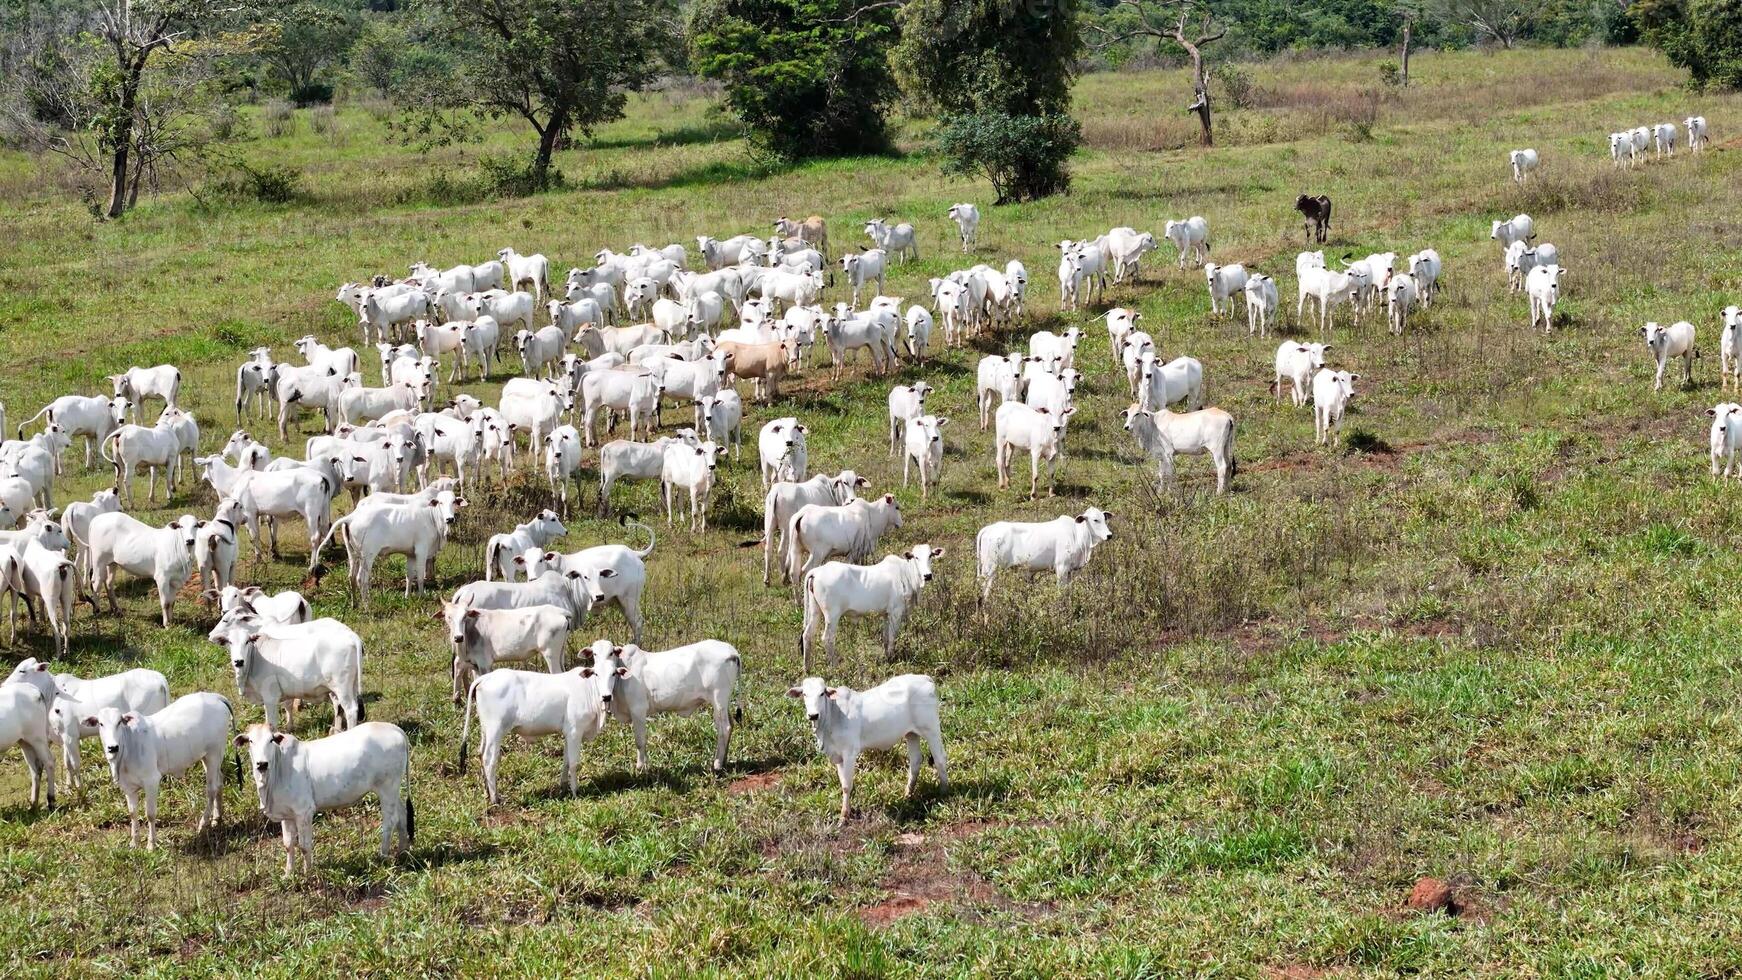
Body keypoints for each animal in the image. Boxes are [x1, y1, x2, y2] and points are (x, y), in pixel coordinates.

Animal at [85, 696, 231, 852]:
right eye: (101, 724)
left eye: (119, 722)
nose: (112, 747)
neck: (128, 747)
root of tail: (215, 697)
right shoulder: (128, 787)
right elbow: (133, 813)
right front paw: (134, 842)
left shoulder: (151, 781)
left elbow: (150, 814)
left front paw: (151, 845)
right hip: (208, 758)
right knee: (219, 781)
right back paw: (217, 819)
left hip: (214, 754)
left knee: (211, 789)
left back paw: (203, 824)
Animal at [456, 668, 613, 804]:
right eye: (596, 673)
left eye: (614, 673)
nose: (607, 696)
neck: (588, 689)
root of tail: (486, 677)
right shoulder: (575, 731)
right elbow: (574, 763)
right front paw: (575, 793)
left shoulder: (568, 733)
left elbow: (566, 761)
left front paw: (563, 789)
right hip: (495, 730)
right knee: (489, 759)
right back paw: (495, 798)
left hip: (486, 730)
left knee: (480, 753)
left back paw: (487, 792)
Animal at [794, 671, 954, 825]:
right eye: (804, 694)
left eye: (822, 693)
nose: (813, 715)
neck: (833, 717)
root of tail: (925, 678)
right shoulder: (838, 756)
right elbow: (843, 783)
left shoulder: (850, 753)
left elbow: (847, 786)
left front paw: (844, 817)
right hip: (911, 734)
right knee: (915, 761)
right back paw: (907, 795)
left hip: (931, 729)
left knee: (940, 758)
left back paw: (944, 792)